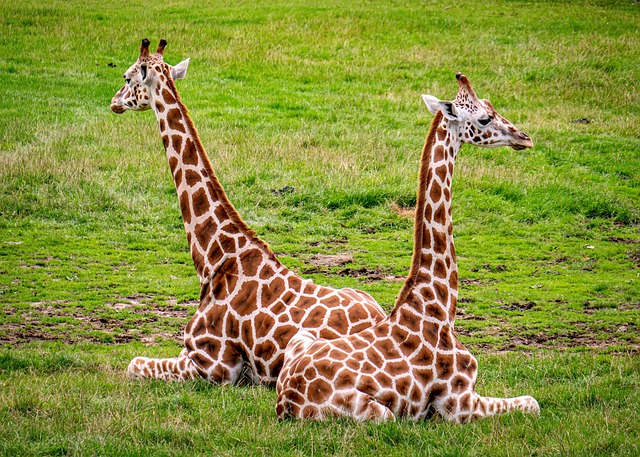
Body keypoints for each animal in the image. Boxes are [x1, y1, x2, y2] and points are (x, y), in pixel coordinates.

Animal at [276, 73, 539, 422]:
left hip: (302, 339)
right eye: (485, 117)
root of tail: (286, 403)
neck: (438, 307)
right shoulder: (457, 403)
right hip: (381, 415)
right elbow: (533, 402)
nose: (525, 138)